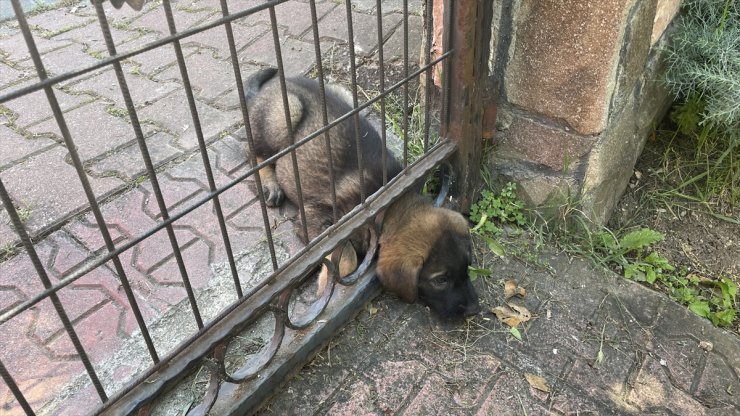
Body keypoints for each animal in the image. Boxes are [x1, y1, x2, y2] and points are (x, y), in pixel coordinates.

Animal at [246, 67, 482, 318]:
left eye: (467, 267)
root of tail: (273, 85)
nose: (475, 309)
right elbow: (346, 255)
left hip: (345, 95)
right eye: (441, 280)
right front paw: (325, 286)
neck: (391, 206)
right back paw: (270, 184)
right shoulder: (316, 219)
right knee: (256, 153)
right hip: (286, 113)